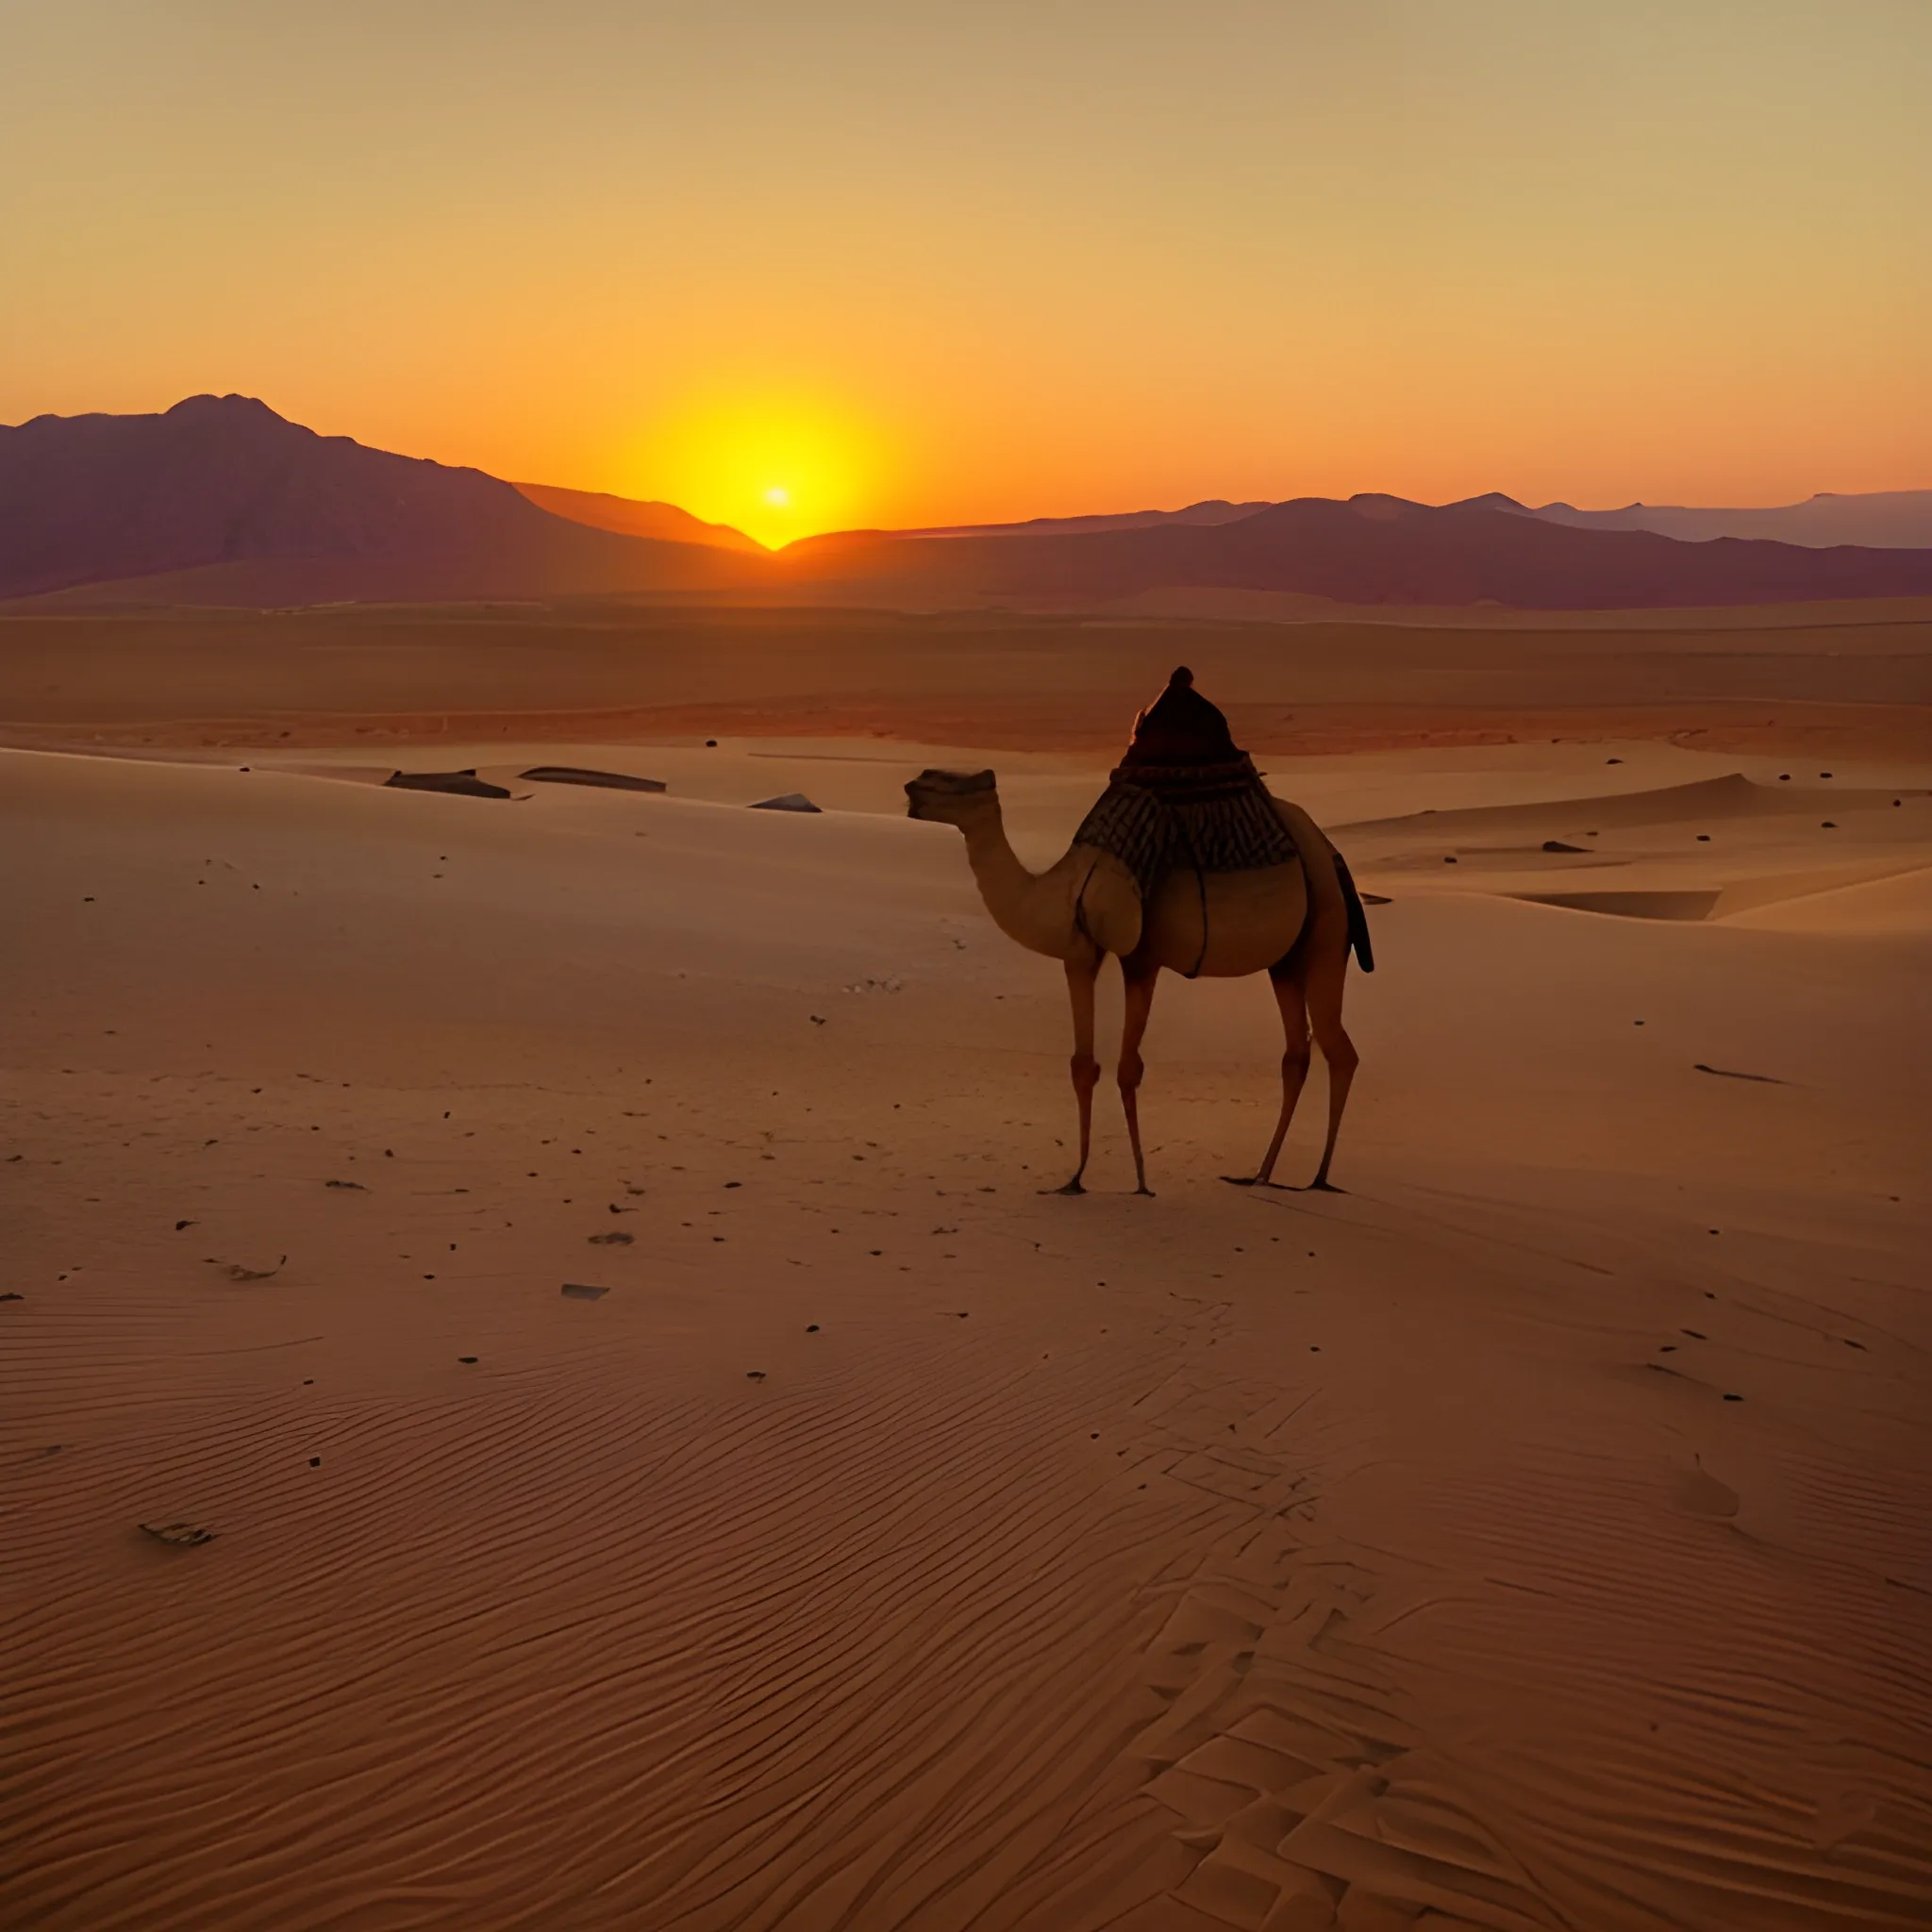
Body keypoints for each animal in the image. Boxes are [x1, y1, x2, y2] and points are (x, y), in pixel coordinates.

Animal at [904, 672, 1375, 1197]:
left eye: (947, 780)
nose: (910, 787)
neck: (1057, 887)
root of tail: (1330, 853)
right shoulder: (1080, 954)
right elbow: (1082, 1066)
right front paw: (1074, 1179)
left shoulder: (1140, 956)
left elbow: (1128, 1069)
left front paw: (1141, 1183)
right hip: (1288, 959)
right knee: (1297, 1053)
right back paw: (1260, 1173)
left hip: (1326, 929)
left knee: (1339, 1049)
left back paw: (1318, 1177)